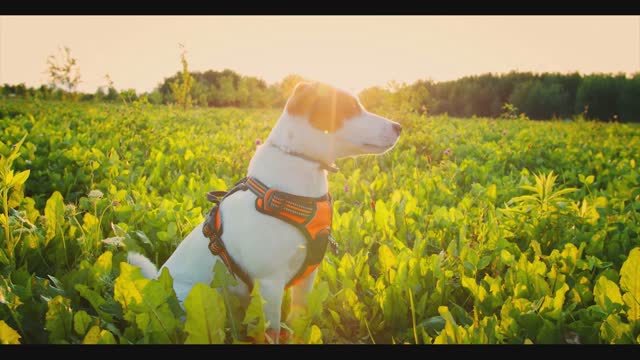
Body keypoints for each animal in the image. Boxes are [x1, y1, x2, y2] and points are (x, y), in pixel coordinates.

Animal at [127, 81, 402, 344]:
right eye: (351, 107)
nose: (399, 126)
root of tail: (156, 282)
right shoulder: (270, 284)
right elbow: (272, 332)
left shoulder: (306, 279)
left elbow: (298, 322)